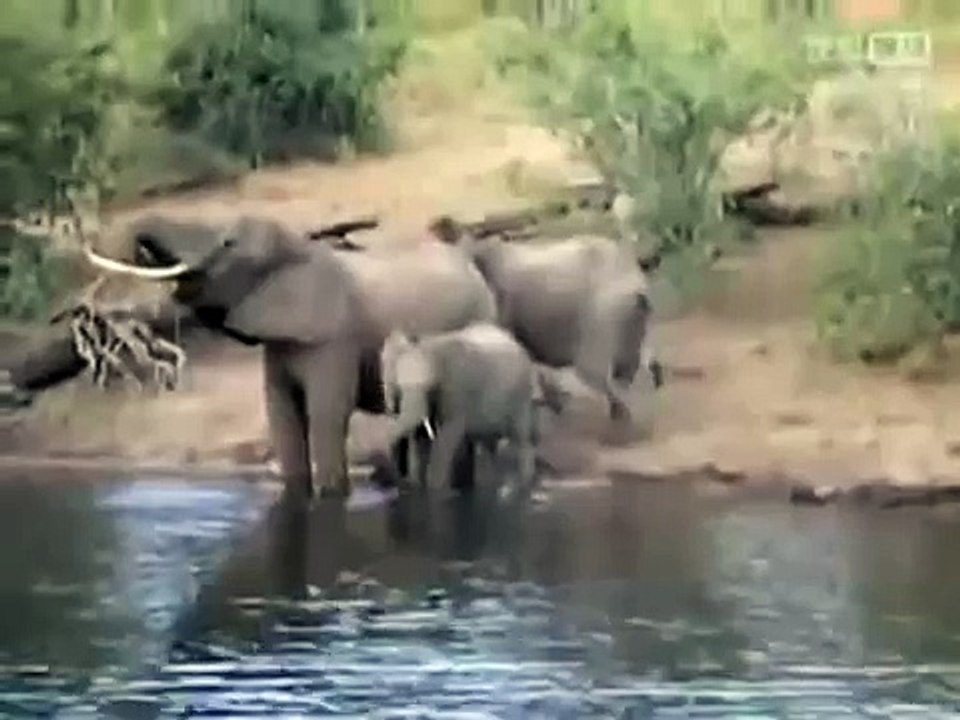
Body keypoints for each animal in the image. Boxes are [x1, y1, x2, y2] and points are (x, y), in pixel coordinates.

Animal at [81, 214, 497, 503]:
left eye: (229, 243)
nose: (140, 248)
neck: (298, 251)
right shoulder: (281, 342)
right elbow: (282, 413)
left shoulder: (333, 339)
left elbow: (326, 412)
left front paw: (331, 497)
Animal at [378, 323, 541, 497]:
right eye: (398, 388)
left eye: (430, 387)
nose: (391, 478)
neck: (431, 344)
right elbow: (418, 436)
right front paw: (417, 486)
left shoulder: (457, 390)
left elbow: (448, 434)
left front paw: (436, 491)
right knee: (488, 445)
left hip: (520, 396)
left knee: (521, 437)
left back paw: (523, 484)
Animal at [432, 221, 664, 428]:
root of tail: (635, 280)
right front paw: (554, 402)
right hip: (629, 316)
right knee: (630, 362)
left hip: (600, 314)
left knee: (596, 370)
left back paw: (621, 414)